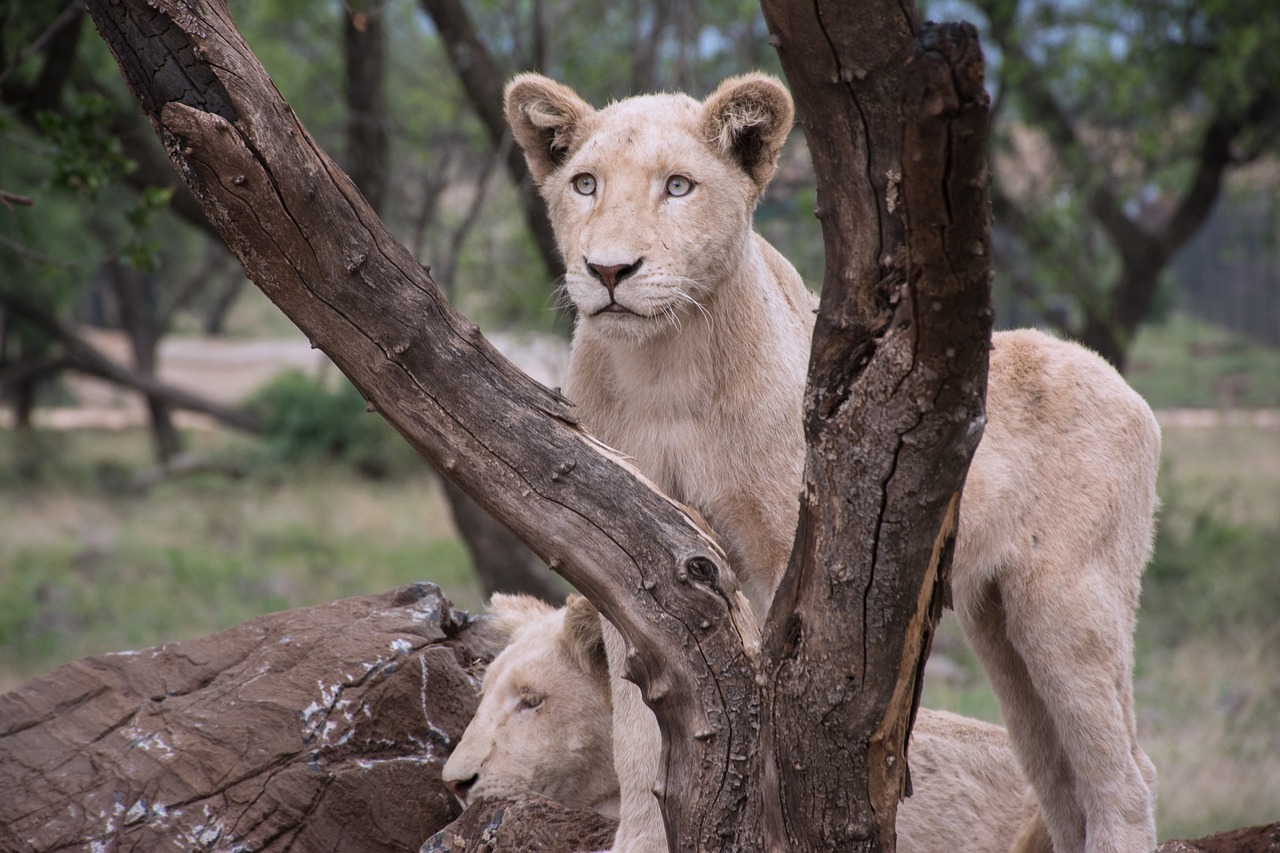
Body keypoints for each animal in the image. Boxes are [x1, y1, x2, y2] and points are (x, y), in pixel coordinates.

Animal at [504, 73, 1167, 850]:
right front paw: (641, 838)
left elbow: (767, 712)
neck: (663, 368)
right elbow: (636, 733)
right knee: (1059, 773)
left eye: (677, 186)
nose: (609, 270)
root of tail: (1128, 388)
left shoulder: (784, 562)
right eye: (584, 184)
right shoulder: (626, 561)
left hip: (1068, 600)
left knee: (1126, 768)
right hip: (999, 623)